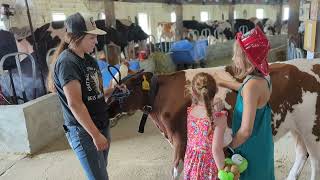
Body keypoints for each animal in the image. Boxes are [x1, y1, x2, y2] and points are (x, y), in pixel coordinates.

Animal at [107, 58, 320, 179]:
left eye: (121, 89)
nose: (105, 108)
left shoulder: (181, 141)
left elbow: (177, 171)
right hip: (296, 127)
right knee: (302, 153)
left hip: (312, 128)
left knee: (315, 160)